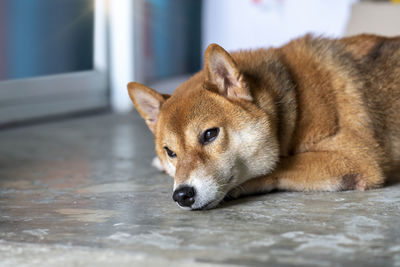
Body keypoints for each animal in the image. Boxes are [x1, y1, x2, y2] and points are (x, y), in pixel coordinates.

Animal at [127, 33, 400, 210]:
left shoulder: (358, 158)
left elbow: (278, 166)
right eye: (170, 152)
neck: (296, 101)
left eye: (210, 134)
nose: (182, 194)